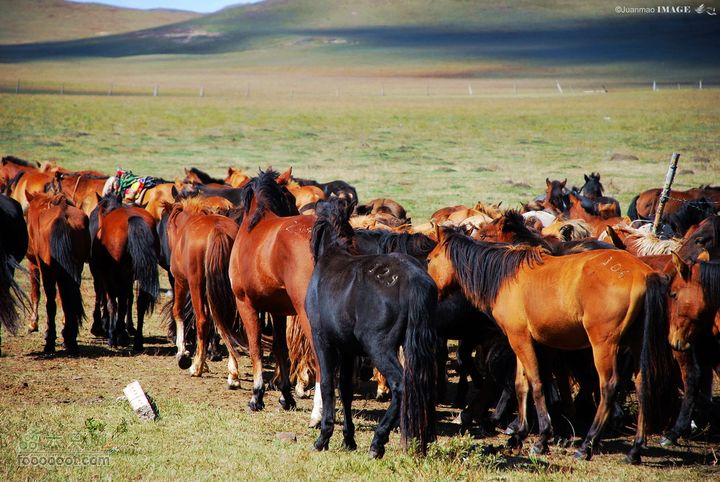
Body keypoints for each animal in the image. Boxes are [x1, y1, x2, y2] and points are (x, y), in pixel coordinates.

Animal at [25, 192, 89, 354]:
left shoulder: (33, 265)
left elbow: (35, 293)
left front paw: (33, 324)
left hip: (48, 271)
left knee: (51, 302)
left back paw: (50, 342)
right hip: (74, 269)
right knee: (68, 299)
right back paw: (70, 340)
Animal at [90, 193, 159, 350]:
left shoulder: (103, 274)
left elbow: (107, 300)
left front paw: (103, 327)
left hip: (118, 274)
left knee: (116, 302)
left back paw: (116, 335)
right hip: (141, 273)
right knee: (140, 302)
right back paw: (137, 340)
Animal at [306, 197, 437, 458]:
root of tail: (413, 278)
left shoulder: (322, 340)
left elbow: (327, 385)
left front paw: (323, 437)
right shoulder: (347, 349)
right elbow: (345, 389)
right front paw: (349, 439)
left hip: (379, 347)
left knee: (400, 385)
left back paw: (378, 442)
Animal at [427, 226, 676, 463]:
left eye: (429, 259)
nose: (429, 289)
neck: (506, 276)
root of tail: (644, 274)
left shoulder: (520, 339)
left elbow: (537, 384)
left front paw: (541, 438)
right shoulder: (524, 341)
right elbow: (521, 385)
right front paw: (519, 435)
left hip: (603, 346)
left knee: (608, 387)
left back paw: (587, 445)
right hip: (636, 343)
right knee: (642, 385)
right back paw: (634, 450)